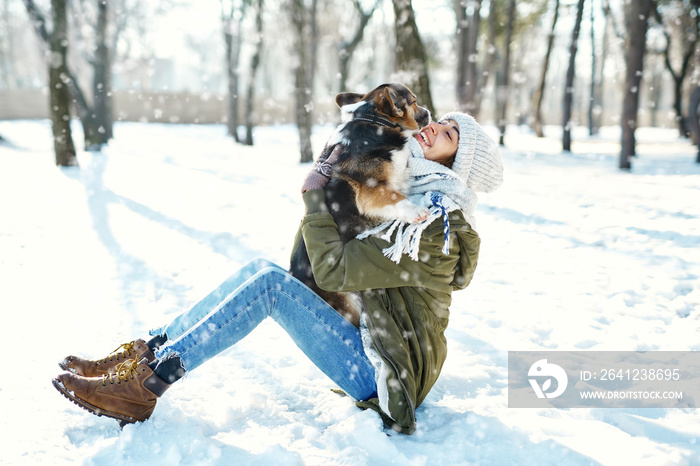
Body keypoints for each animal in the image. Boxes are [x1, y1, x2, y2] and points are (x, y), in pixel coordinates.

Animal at [290, 82, 432, 326]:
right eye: (413, 101)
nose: (430, 113)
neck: (375, 121)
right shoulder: (371, 190)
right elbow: (397, 198)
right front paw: (416, 211)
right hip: (350, 306)